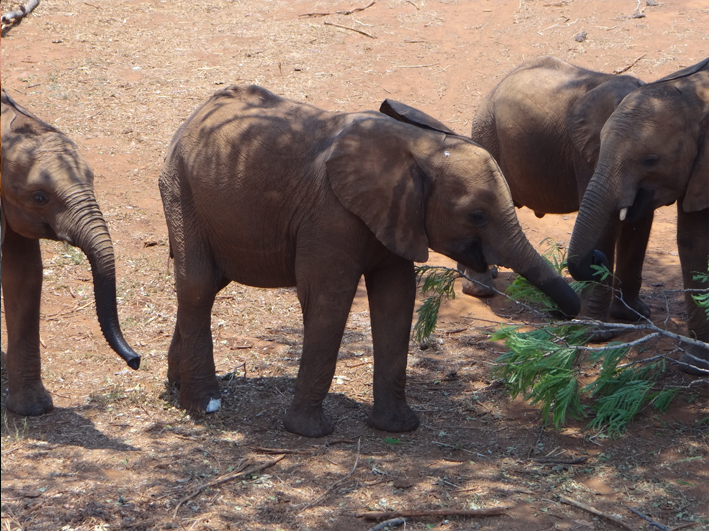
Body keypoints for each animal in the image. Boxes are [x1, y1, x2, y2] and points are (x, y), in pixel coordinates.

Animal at [158, 85, 580, 438]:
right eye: (476, 215)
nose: (561, 315)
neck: (420, 147)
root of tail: (195, 115)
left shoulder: (397, 216)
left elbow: (396, 298)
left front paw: (398, 427)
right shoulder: (331, 214)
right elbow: (328, 298)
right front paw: (309, 432)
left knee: (210, 283)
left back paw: (176, 387)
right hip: (181, 188)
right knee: (197, 283)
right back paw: (203, 405)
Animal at [382, 57, 648, 322]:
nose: (594, 258)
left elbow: (638, 222)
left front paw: (634, 315)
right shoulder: (586, 154)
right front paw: (598, 322)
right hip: (488, 131)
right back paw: (481, 289)